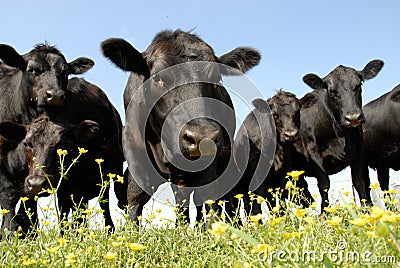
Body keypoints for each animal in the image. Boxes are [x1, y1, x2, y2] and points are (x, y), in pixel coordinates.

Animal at [101, 28, 260, 222]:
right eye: (158, 77)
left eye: (216, 77)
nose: (201, 136)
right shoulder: (134, 149)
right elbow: (136, 196)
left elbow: (209, 197)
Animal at [231, 90, 312, 218]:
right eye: (274, 115)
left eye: (297, 111)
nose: (291, 134)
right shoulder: (257, 180)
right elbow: (257, 208)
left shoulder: (281, 177)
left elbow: (280, 205)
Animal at [292, 59, 382, 210]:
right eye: (332, 91)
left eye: (358, 85)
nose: (353, 117)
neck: (341, 136)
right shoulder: (313, 153)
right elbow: (324, 184)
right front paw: (325, 212)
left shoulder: (358, 151)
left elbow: (359, 181)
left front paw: (366, 209)